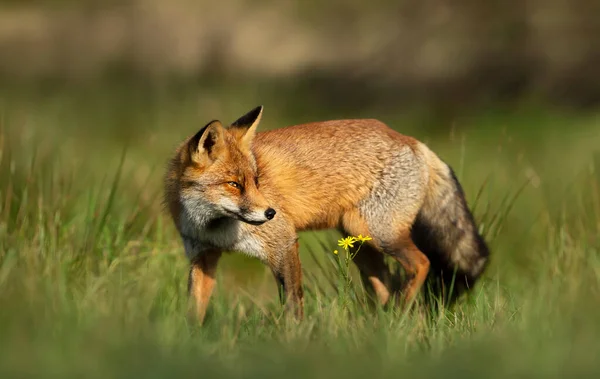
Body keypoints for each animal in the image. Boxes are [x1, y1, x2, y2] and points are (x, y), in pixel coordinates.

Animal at [163, 105, 488, 322]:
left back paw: (397, 314)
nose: (270, 212)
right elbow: (194, 310)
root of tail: (412, 141)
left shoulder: (283, 243)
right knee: (386, 285)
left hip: (379, 234)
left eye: (256, 181)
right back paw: (382, 324)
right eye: (234, 184)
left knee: (422, 263)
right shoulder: (203, 256)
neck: (214, 227)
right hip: (359, 244)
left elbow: (293, 305)